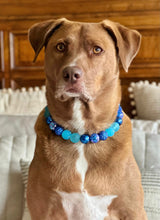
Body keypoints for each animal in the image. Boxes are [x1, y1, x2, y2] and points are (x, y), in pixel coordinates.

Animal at [27, 18, 148, 219]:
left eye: (97, 49)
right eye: (60, 46)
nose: (70, 74)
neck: (83, 135)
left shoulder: (132, 210)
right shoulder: (43, 209)